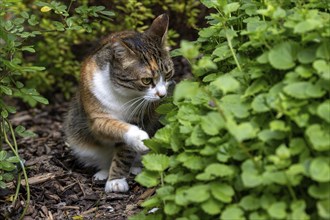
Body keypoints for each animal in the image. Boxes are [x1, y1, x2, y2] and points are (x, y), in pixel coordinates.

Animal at [62, 13, 174, 192]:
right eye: (147, 80)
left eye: (168, 73)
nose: (162, 94)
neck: (123, 94)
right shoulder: (97, 117)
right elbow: (115, 126)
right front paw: (138, 138)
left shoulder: (138, 115)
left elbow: (124, 152)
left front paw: (116, 179)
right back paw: (103, 171)